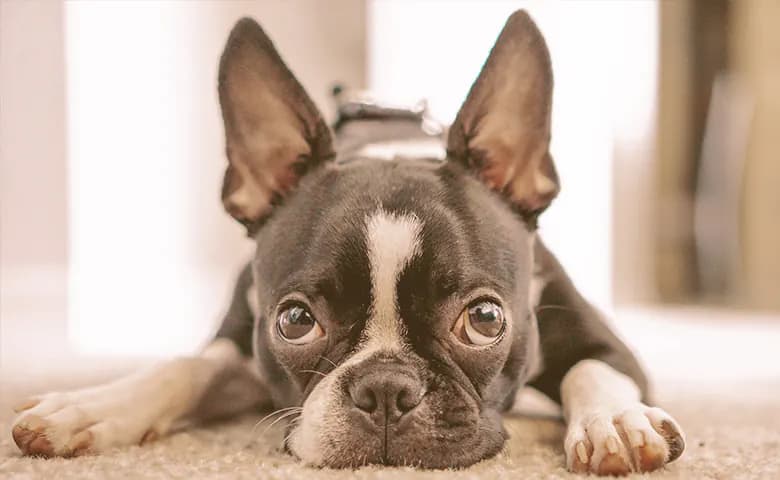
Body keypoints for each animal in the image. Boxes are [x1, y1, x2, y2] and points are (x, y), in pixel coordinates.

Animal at [10, 11, 684, 476]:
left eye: (487, 319)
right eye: (295, 321)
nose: (385, 389)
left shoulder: (603, 341)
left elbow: (595, 370)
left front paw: (614, 422)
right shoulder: (244, 336)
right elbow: (188, 366)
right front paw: (92, 407)